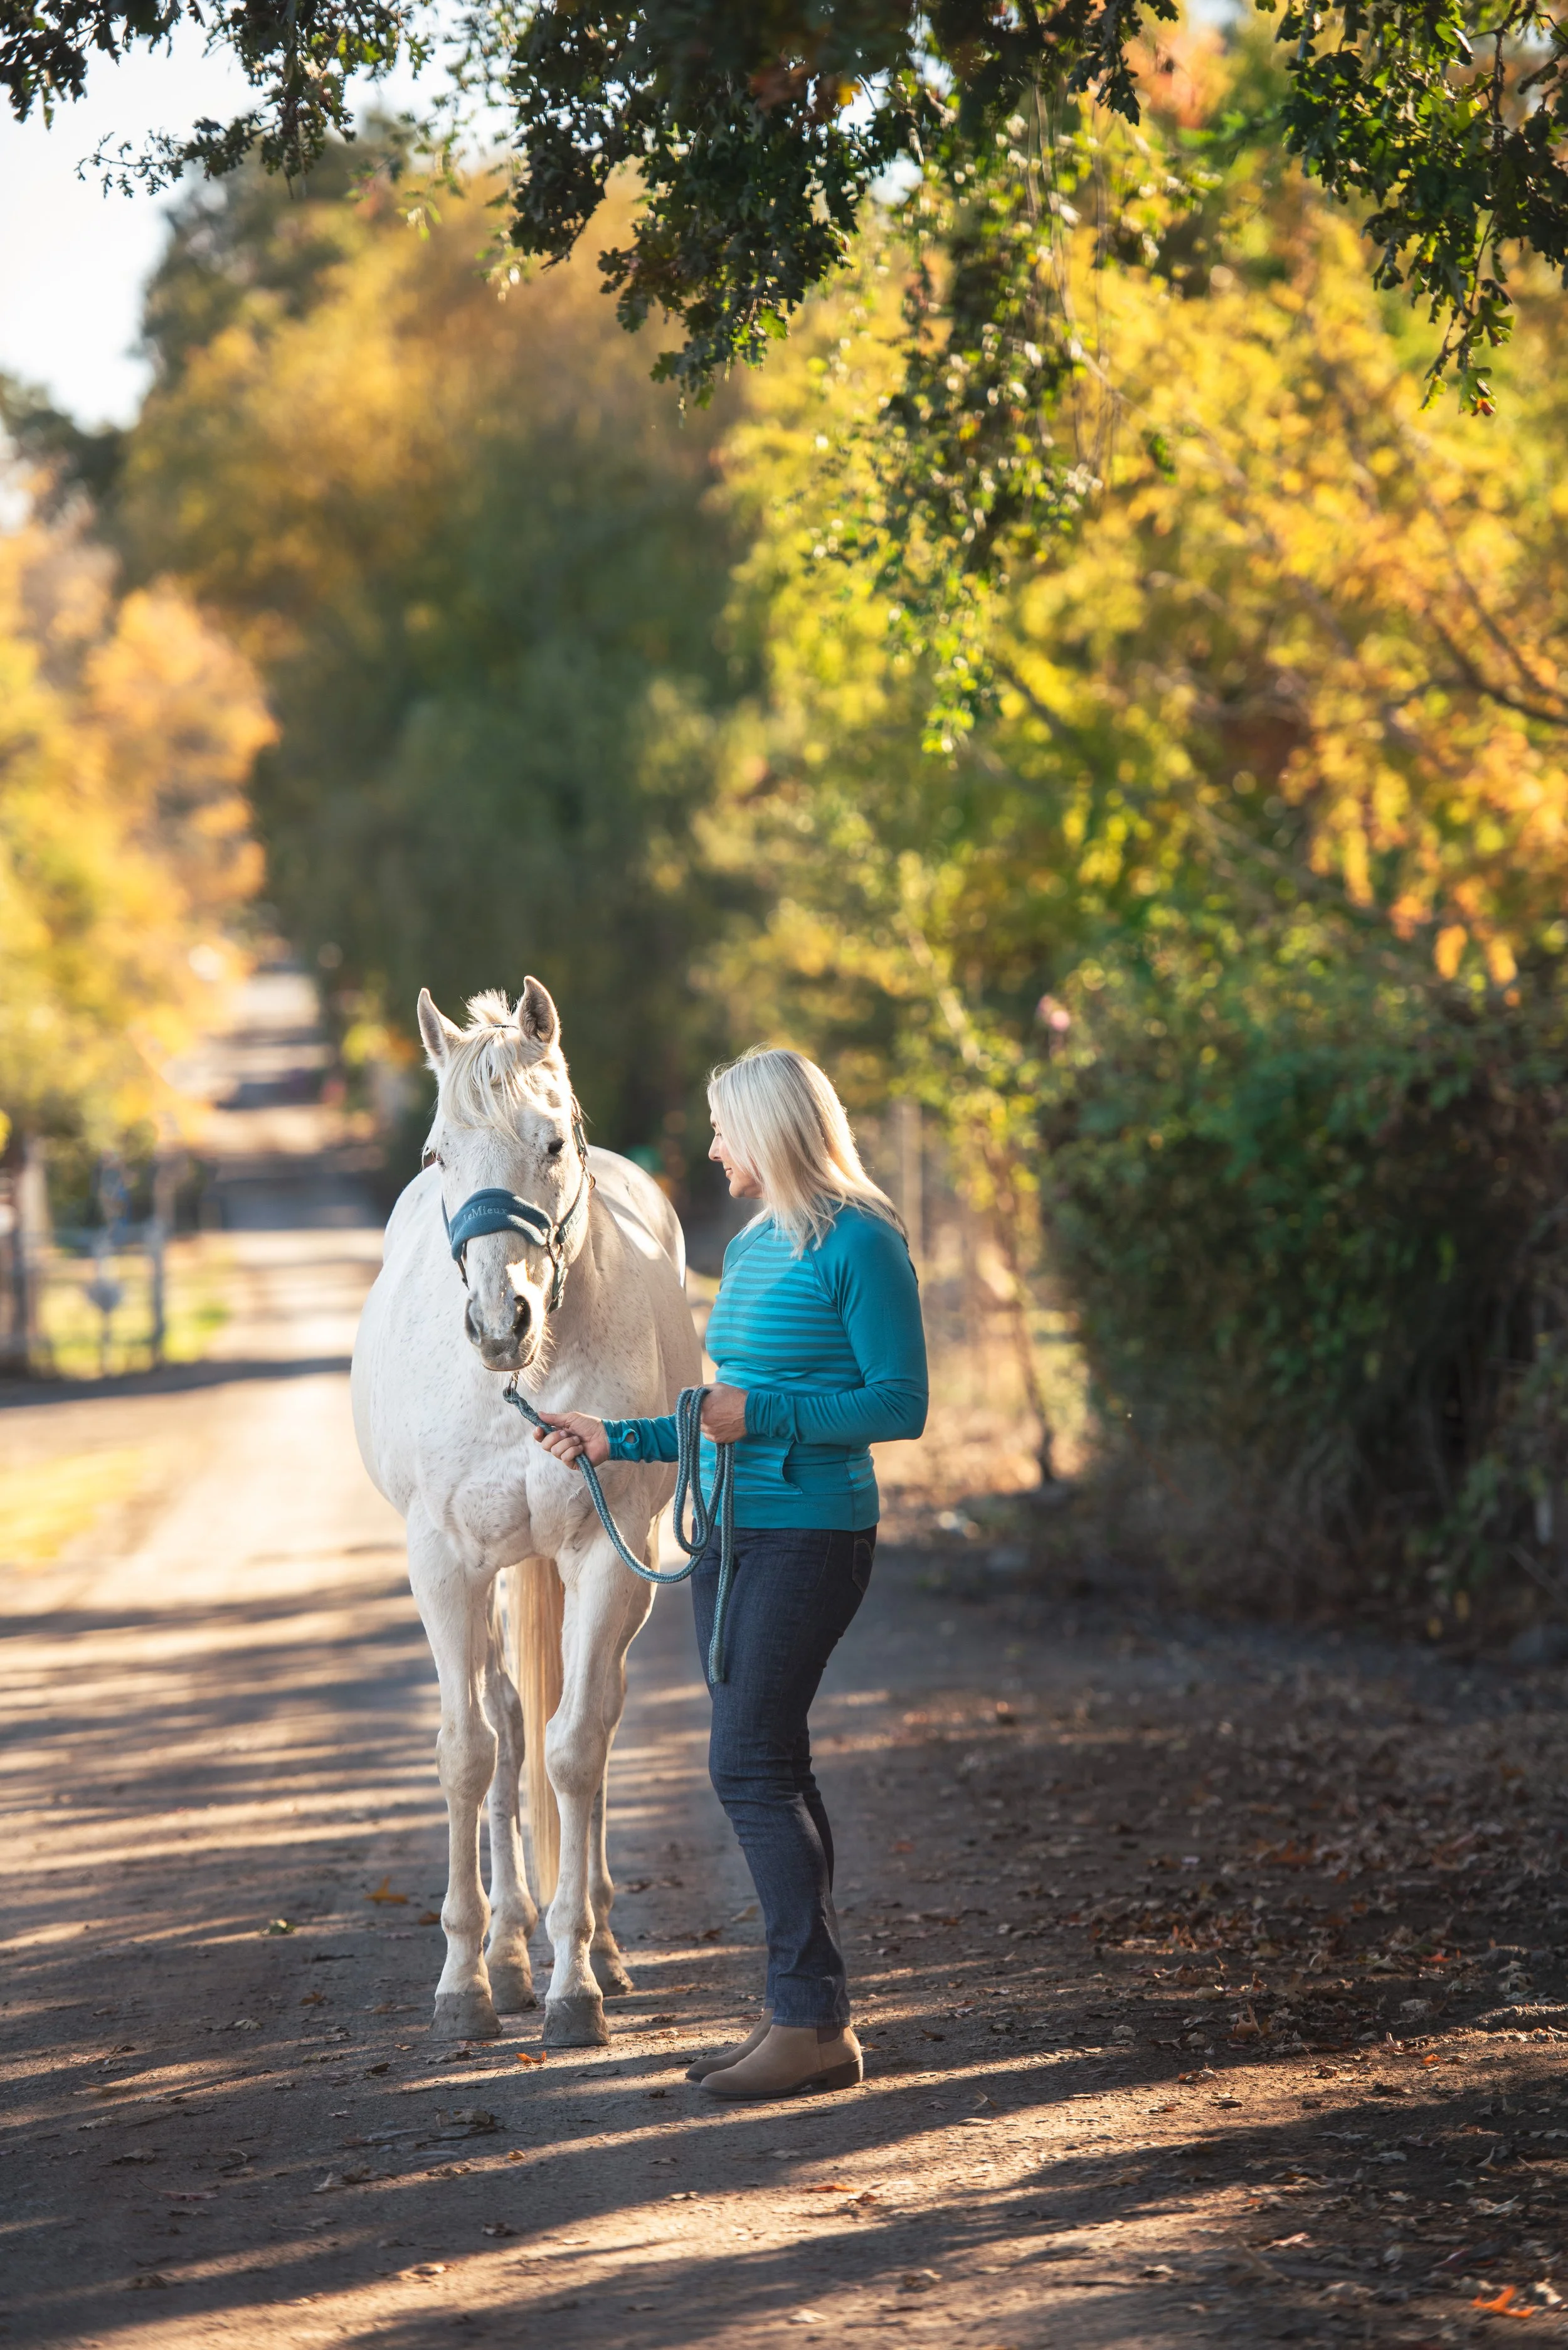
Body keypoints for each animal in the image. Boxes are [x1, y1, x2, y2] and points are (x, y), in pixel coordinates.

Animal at [351, 978, 700, 2047]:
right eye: (437, 1154)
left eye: (551, 1142)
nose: (500, 1322)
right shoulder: (447, 1564)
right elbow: (469, 1754)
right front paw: (466, 1979)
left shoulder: (606, 1559)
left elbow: (577, 1748)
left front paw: (576, 1981)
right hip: (503, 1570)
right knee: (507, 1730)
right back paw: (507, 1953)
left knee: (582, 1726)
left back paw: (595, 1946)